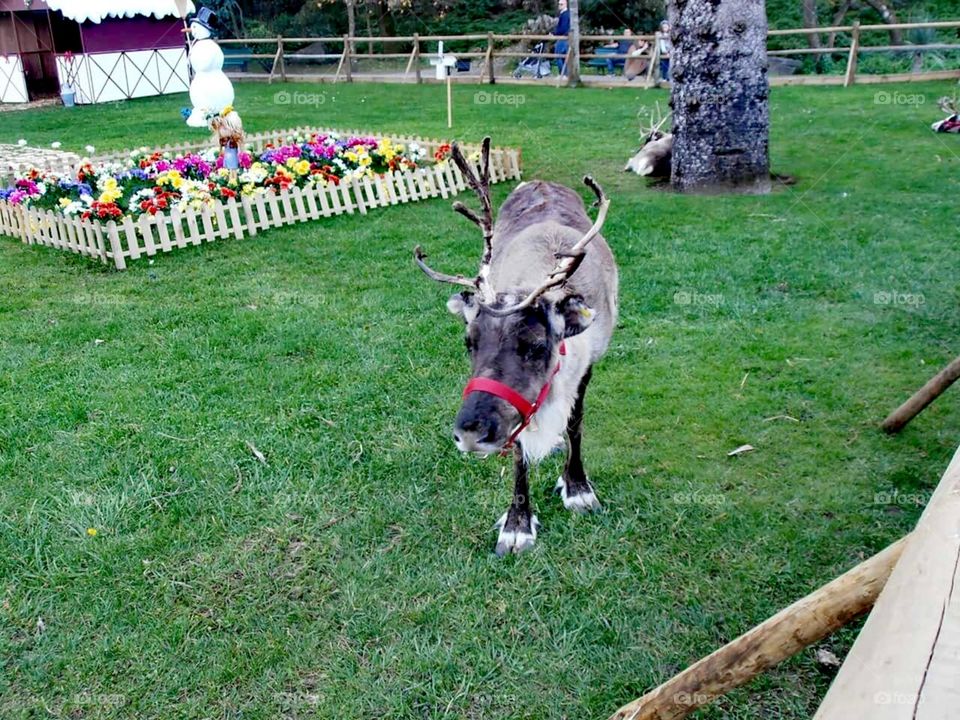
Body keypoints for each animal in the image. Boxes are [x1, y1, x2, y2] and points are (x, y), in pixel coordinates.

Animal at [414, 138, 619, 556]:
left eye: (537, 346)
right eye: (469, 342)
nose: (471, 433)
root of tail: (539, 180)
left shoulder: (588, 366)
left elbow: (575, 423)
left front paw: (577, 486)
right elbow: (521, 447)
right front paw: (517, 523)